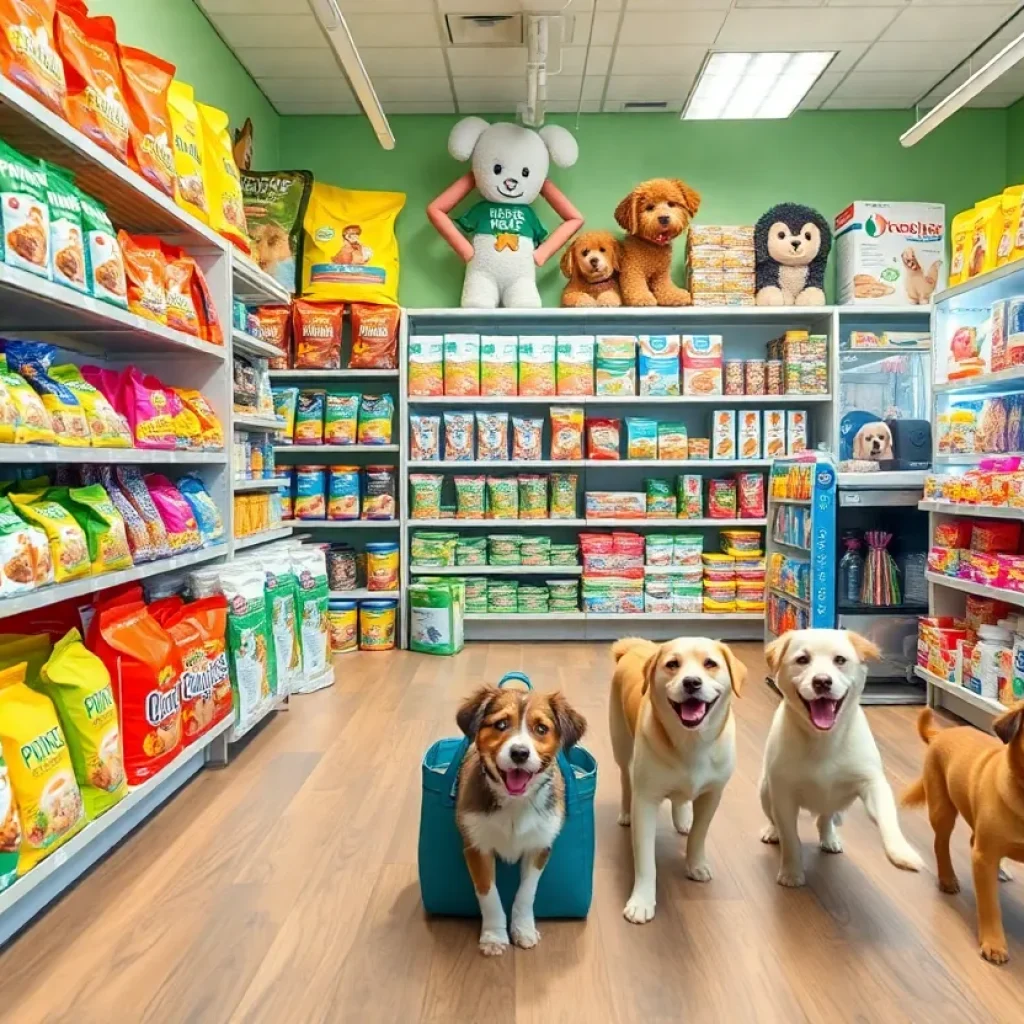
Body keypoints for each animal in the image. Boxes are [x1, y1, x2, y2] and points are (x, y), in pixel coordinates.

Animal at [456, 684, 585, 954]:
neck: (515, 803)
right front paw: (494, 936)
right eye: (501, 724)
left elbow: (526, 893)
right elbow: (488, 893)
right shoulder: (477, 846)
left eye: (541, 729)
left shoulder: (539, 846)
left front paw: (523, 929)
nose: (519, 753)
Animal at [606, 634, 745, 925]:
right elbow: (646, 860)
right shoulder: (646, 800)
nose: (691, 682)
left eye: (710, 663)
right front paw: (642, 901)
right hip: (621, 746)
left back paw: (683, 819)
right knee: (625, 779)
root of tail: (633, 647)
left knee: (681, 798)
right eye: (672, 664)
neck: (691, 742)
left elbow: (699, 835)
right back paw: (625, 813)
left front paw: (695, 864)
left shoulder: (712, 795)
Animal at [761, 626, 921, 884]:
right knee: (775, 820)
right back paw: (772, 831)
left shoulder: (872, 783)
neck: (823, 739)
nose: (822, 681)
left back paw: (829, 838)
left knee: (824, 819)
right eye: (802, 659)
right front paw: (791, 872)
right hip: (766, 791)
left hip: (837, 799)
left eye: (840, 660)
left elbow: (887, 817)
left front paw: (901, 852)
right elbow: (790, 838)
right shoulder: (783, 794)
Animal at [905, 708, 1024, 962]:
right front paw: (994, 943)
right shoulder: (984, 857)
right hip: (942, 811)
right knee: (940, 845)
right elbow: (990, 906)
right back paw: (947, 879)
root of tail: (941, 733)